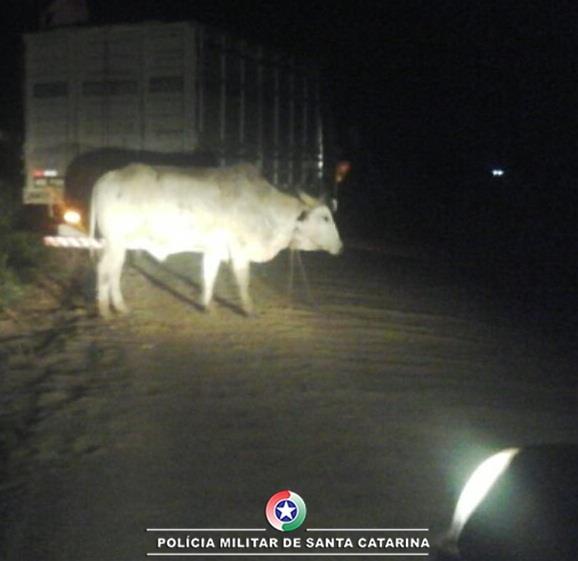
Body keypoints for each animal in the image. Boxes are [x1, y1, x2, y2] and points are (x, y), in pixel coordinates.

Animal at [90, 164, 342, 318]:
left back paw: (118, 306)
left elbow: (208, 276)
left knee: (113, 271)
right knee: (104, 270)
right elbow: (243, 279)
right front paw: (248, 309)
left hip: (118, 245)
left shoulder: (213, 249)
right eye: (325, 217)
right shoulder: (240, 250)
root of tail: (107, 178)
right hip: (115, 243)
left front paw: (206, 305)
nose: (340, 246)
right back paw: (106, 309)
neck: (263, 207)